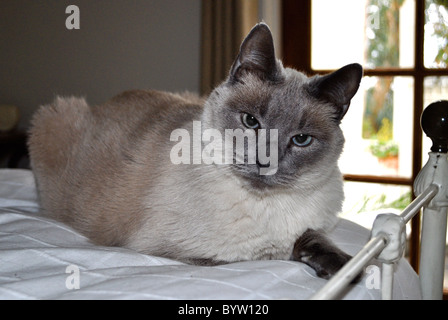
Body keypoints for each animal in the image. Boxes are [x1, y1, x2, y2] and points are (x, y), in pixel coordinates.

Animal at [28, 23, 364, 280]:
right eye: (250, 121)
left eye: (301, 140)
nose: (264, 162)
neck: (267, 206)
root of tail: (106, 102)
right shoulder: (185, 252)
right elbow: (271, 254)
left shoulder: (312, 227)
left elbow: (313, 238)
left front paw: (346, 270)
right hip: (53, 114)